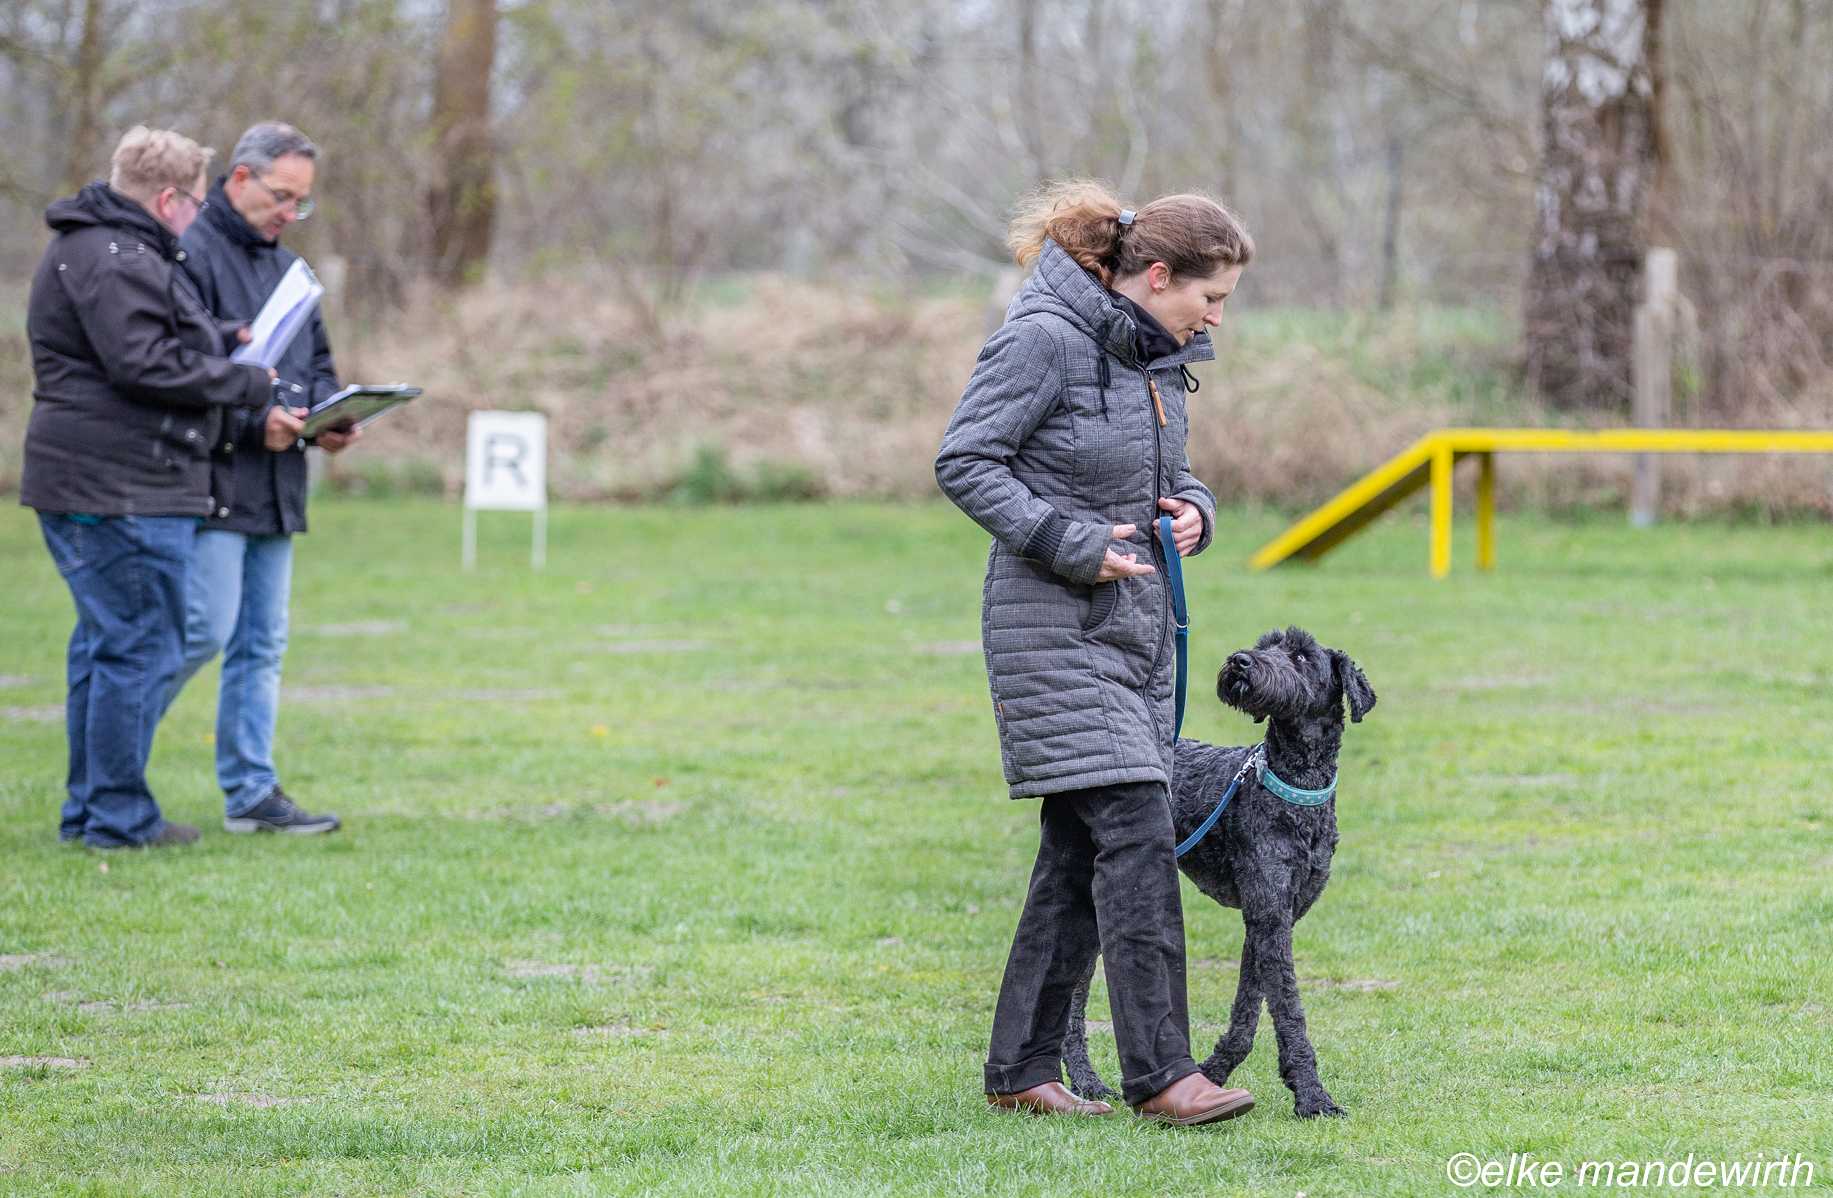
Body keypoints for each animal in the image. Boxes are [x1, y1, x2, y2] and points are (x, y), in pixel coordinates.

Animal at [1061, 626, 1375, 1118]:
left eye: (1301, 656)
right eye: (1267, 644)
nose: (1241, 661)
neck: (1293, 787)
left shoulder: (1271, 916)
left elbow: (1250, 1007)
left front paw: (1212, 1074)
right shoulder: (1268, 910)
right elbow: (1288, 1008)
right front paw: (1312, 1095)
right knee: (1073, 992)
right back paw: (1085, 1080)